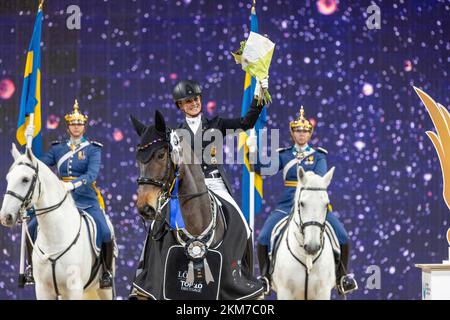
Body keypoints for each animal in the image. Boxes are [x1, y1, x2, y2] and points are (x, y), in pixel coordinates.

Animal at [0, 145, 114, 300]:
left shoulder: (74, 289)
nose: (5, 216)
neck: (55, 238)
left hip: (103, 289)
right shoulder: (43, 289)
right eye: (8, 178)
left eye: (25, 179)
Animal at [270, 166, 338, 298]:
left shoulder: (323, 291)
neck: (307, 256)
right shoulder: (284, 291)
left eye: (326, 204)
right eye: (301, 203)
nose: (312, 247)